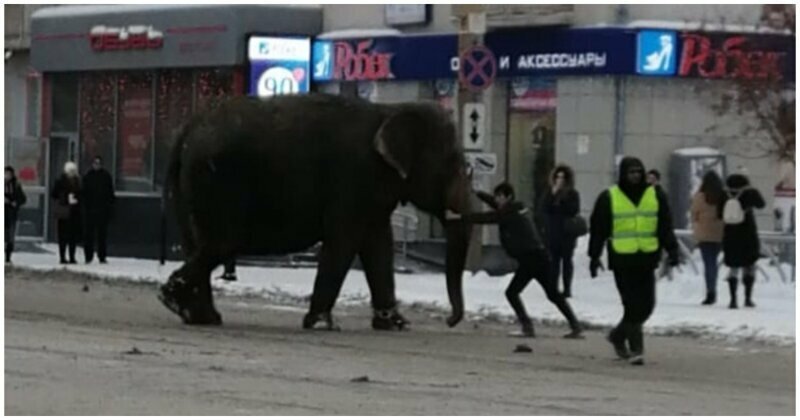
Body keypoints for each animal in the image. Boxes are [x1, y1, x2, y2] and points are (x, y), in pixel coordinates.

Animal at [161, 92, 476, 332]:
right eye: (454, 164)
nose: (450, 321)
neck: (391, 110)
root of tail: (185, 130)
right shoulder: (352, 177)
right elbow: (344, 242)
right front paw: (322, 324)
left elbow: (379, 245)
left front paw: (395, 325)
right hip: (216, 182)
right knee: (222, 242)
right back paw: (173, 299)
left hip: (192, 185)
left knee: (199, 243)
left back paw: (201, 317)